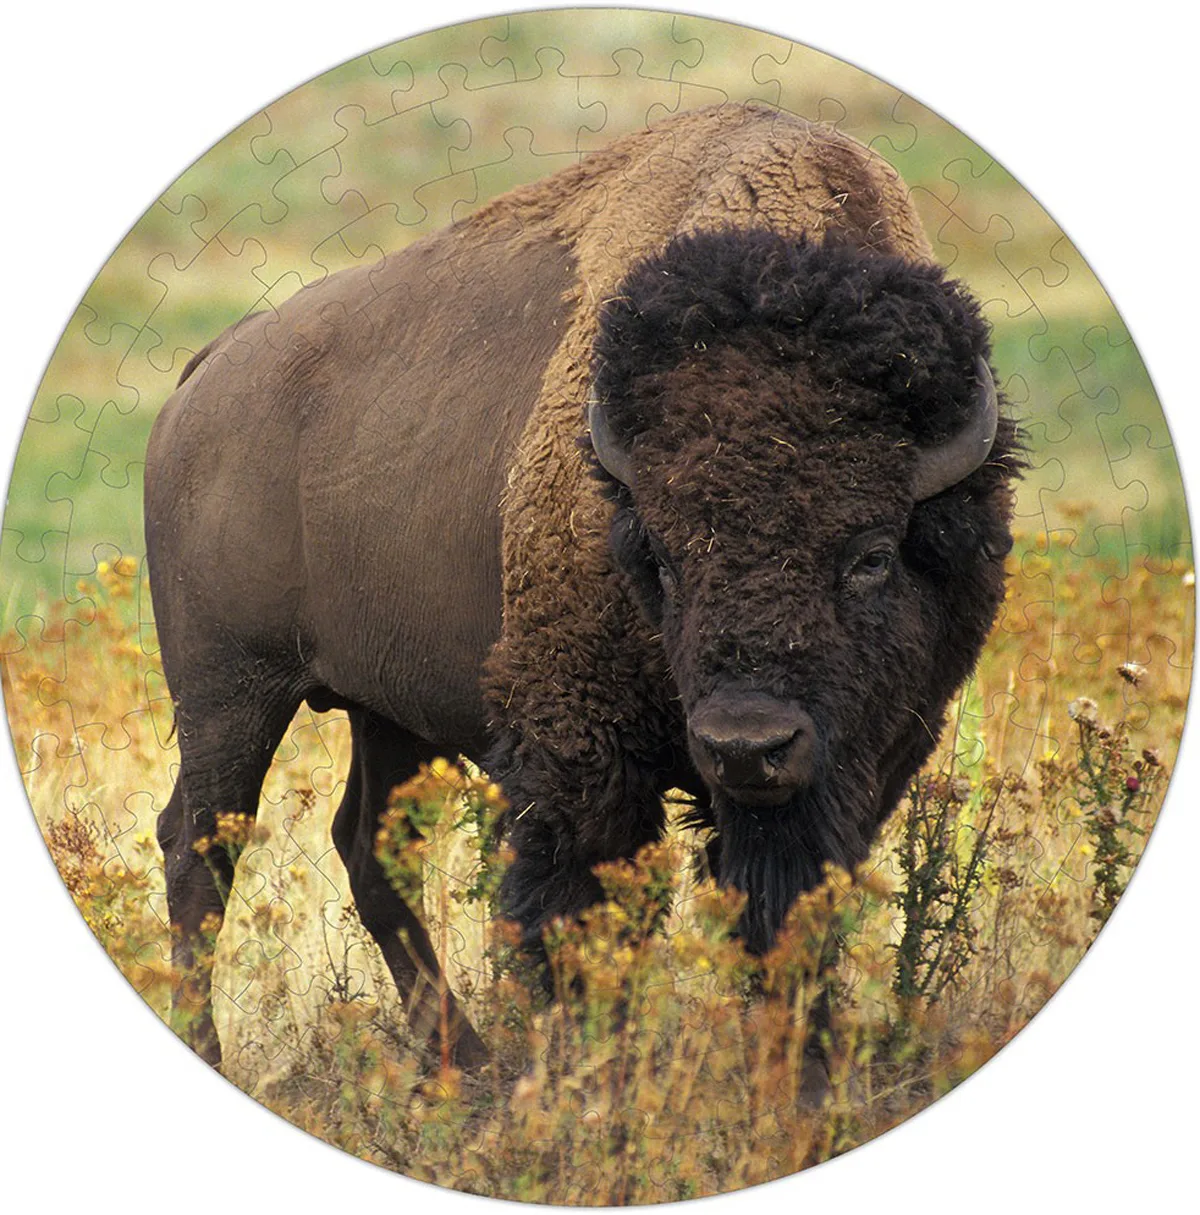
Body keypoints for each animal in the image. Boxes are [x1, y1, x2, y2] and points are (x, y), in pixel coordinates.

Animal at [144, 101, 1019, 1070]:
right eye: (662, 557)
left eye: (871, 554)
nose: (746, 744)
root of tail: (207, 373)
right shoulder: (579, 749)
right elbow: (580, 911)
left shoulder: (865, 757)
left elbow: (789, 909)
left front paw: (802, 1066)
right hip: (230, 692)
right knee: (199, 847)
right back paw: (217, 1046)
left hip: (385, 707)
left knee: (367, 846)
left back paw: (465, 1061)